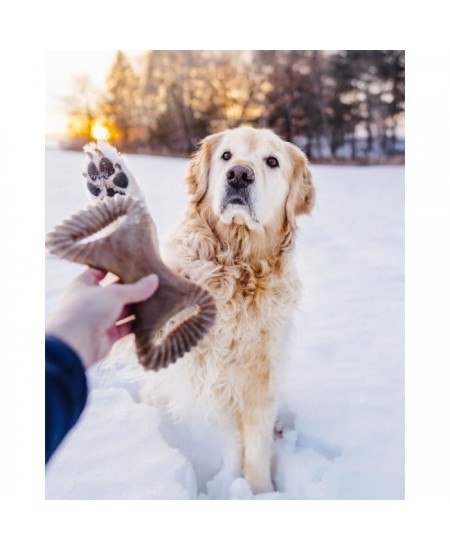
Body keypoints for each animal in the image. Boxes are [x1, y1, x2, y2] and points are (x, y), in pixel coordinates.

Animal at [82, 127, 314, 494]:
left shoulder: (261, 383)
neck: (235, 265)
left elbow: (257, 451)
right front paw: (113, 187)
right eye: (226, 156)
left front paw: (260, 493)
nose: (239, 174)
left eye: (272, 161)